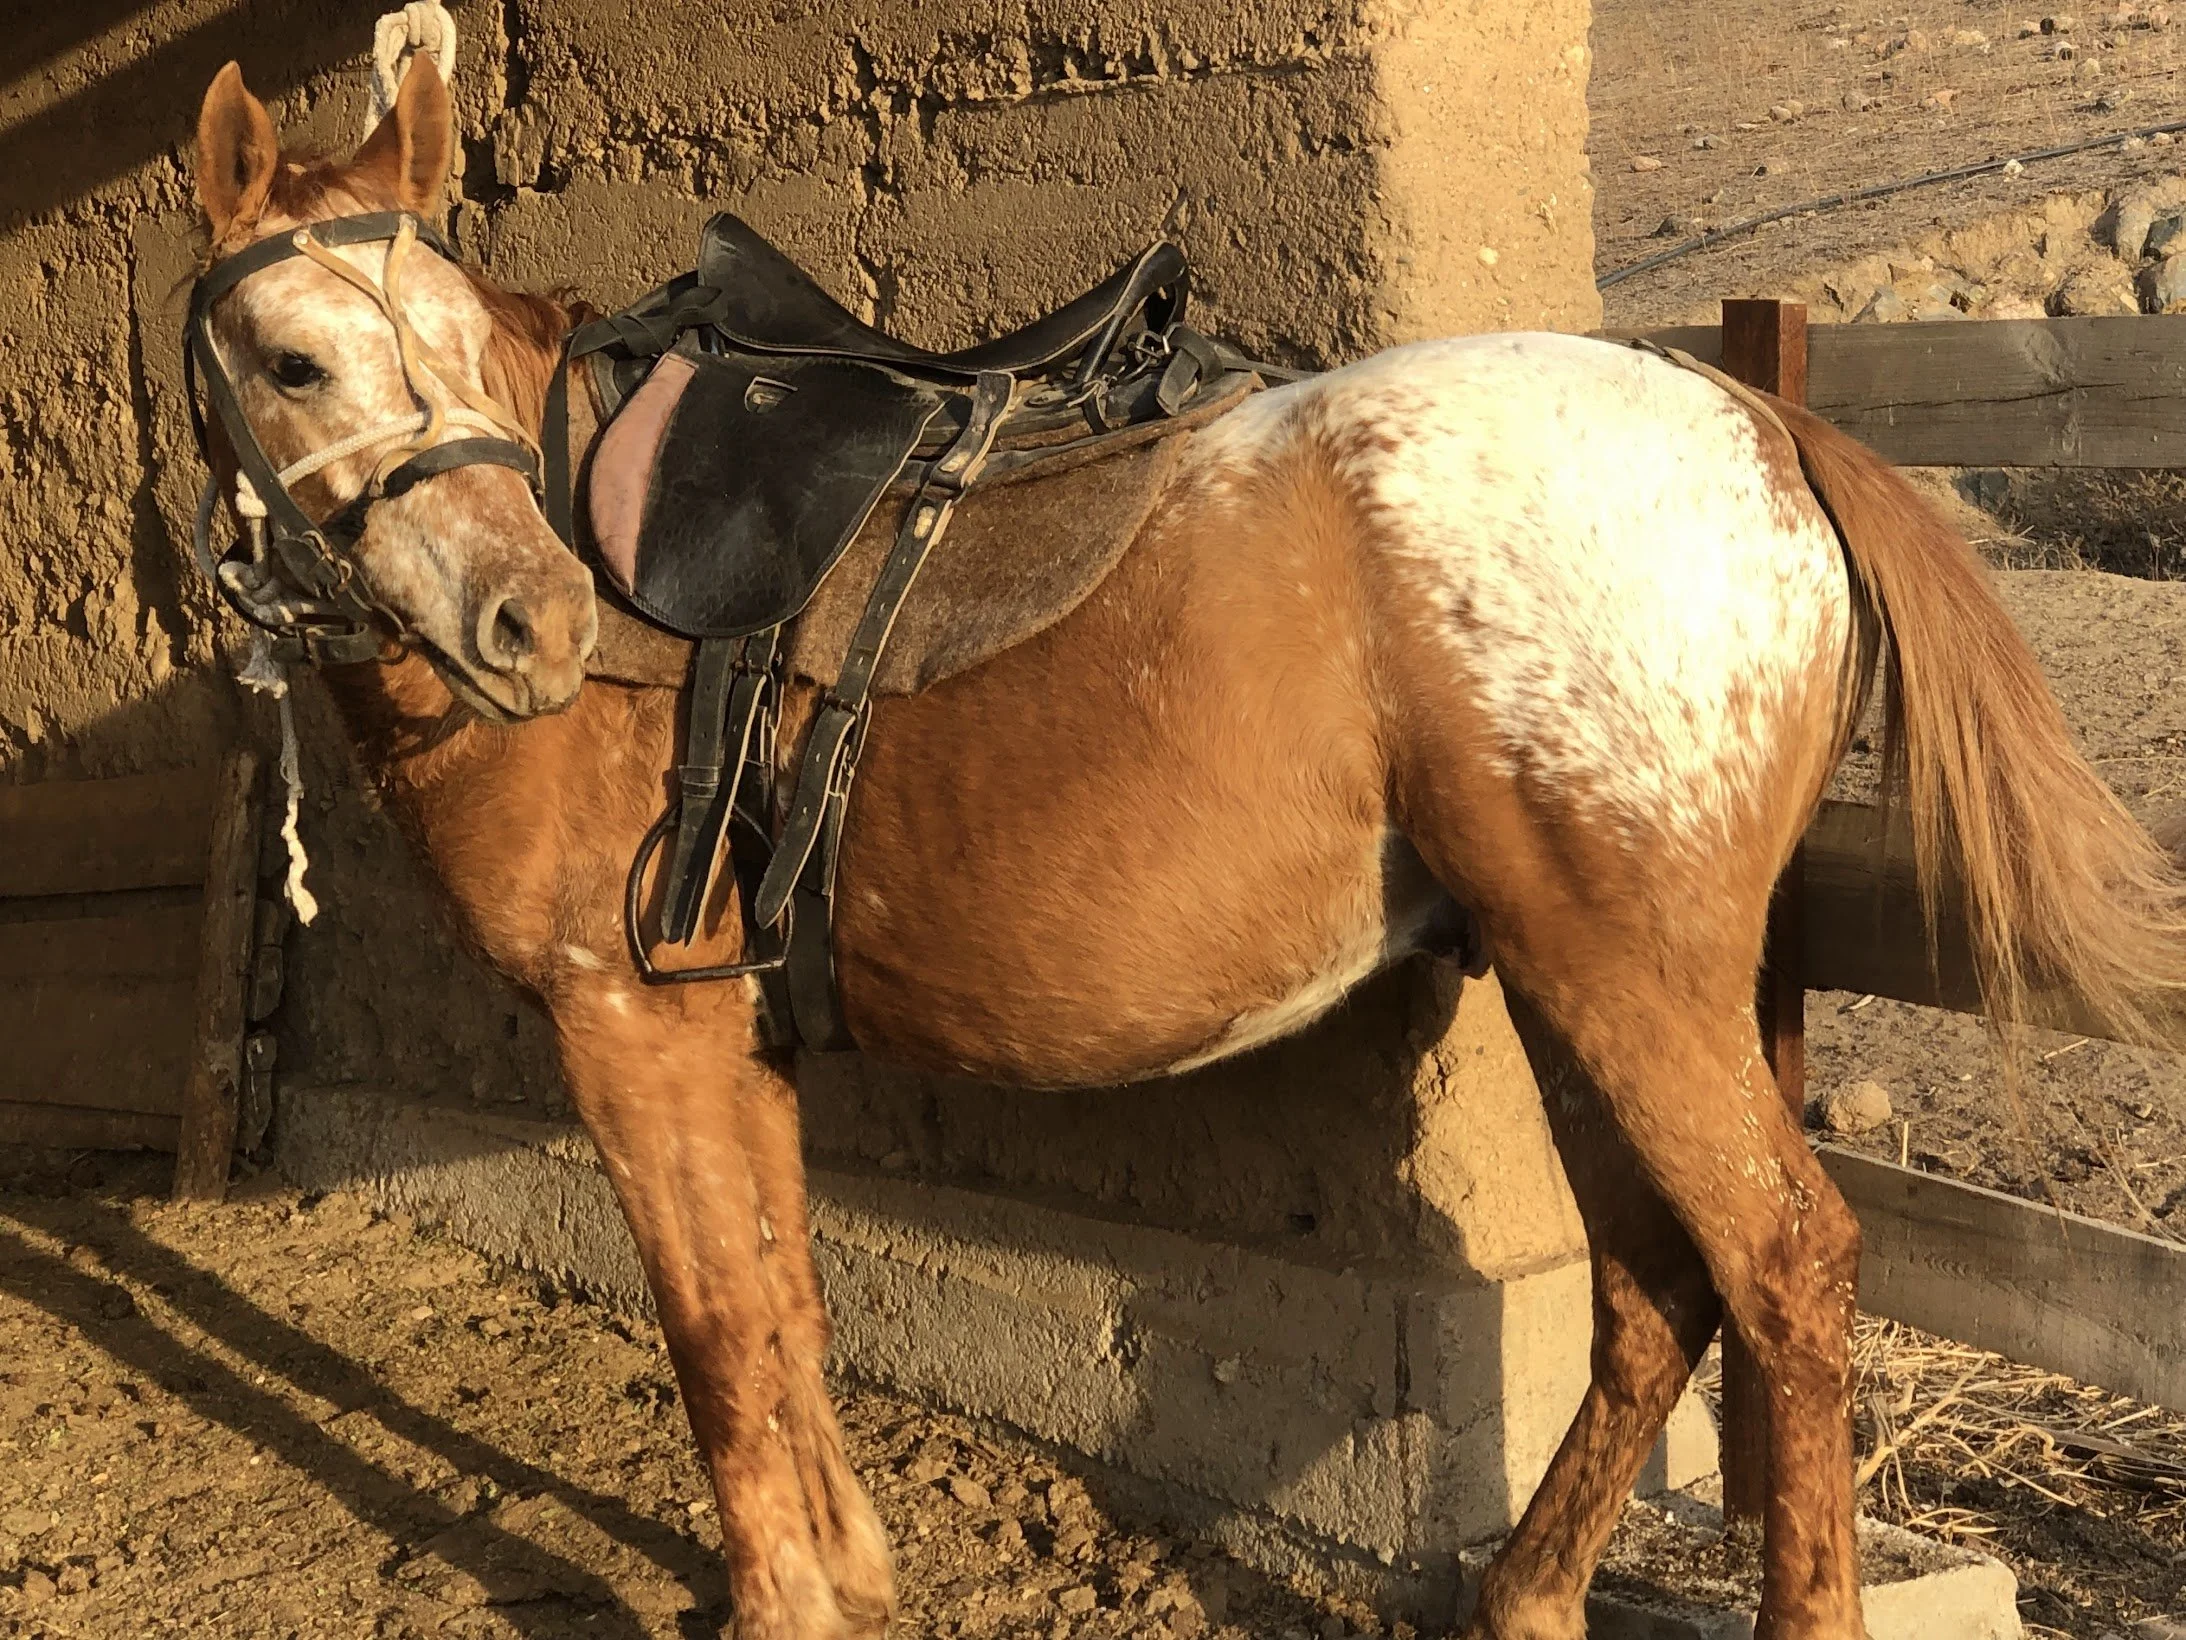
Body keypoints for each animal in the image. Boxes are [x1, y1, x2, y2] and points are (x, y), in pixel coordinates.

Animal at [178, 55, 2186, 1640]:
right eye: (294, 360)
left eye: (448, 348)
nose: (526, 624)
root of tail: (1753, 419)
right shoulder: (722, 1029)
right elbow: (785, 1306)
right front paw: (851, 1579)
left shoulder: (626, 1021)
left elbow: (716, 1332)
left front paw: (780, 1602)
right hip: (1578, 983)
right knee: (1655, 1290)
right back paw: (1521, 1600)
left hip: (1631, 981)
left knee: (1780, 1269)